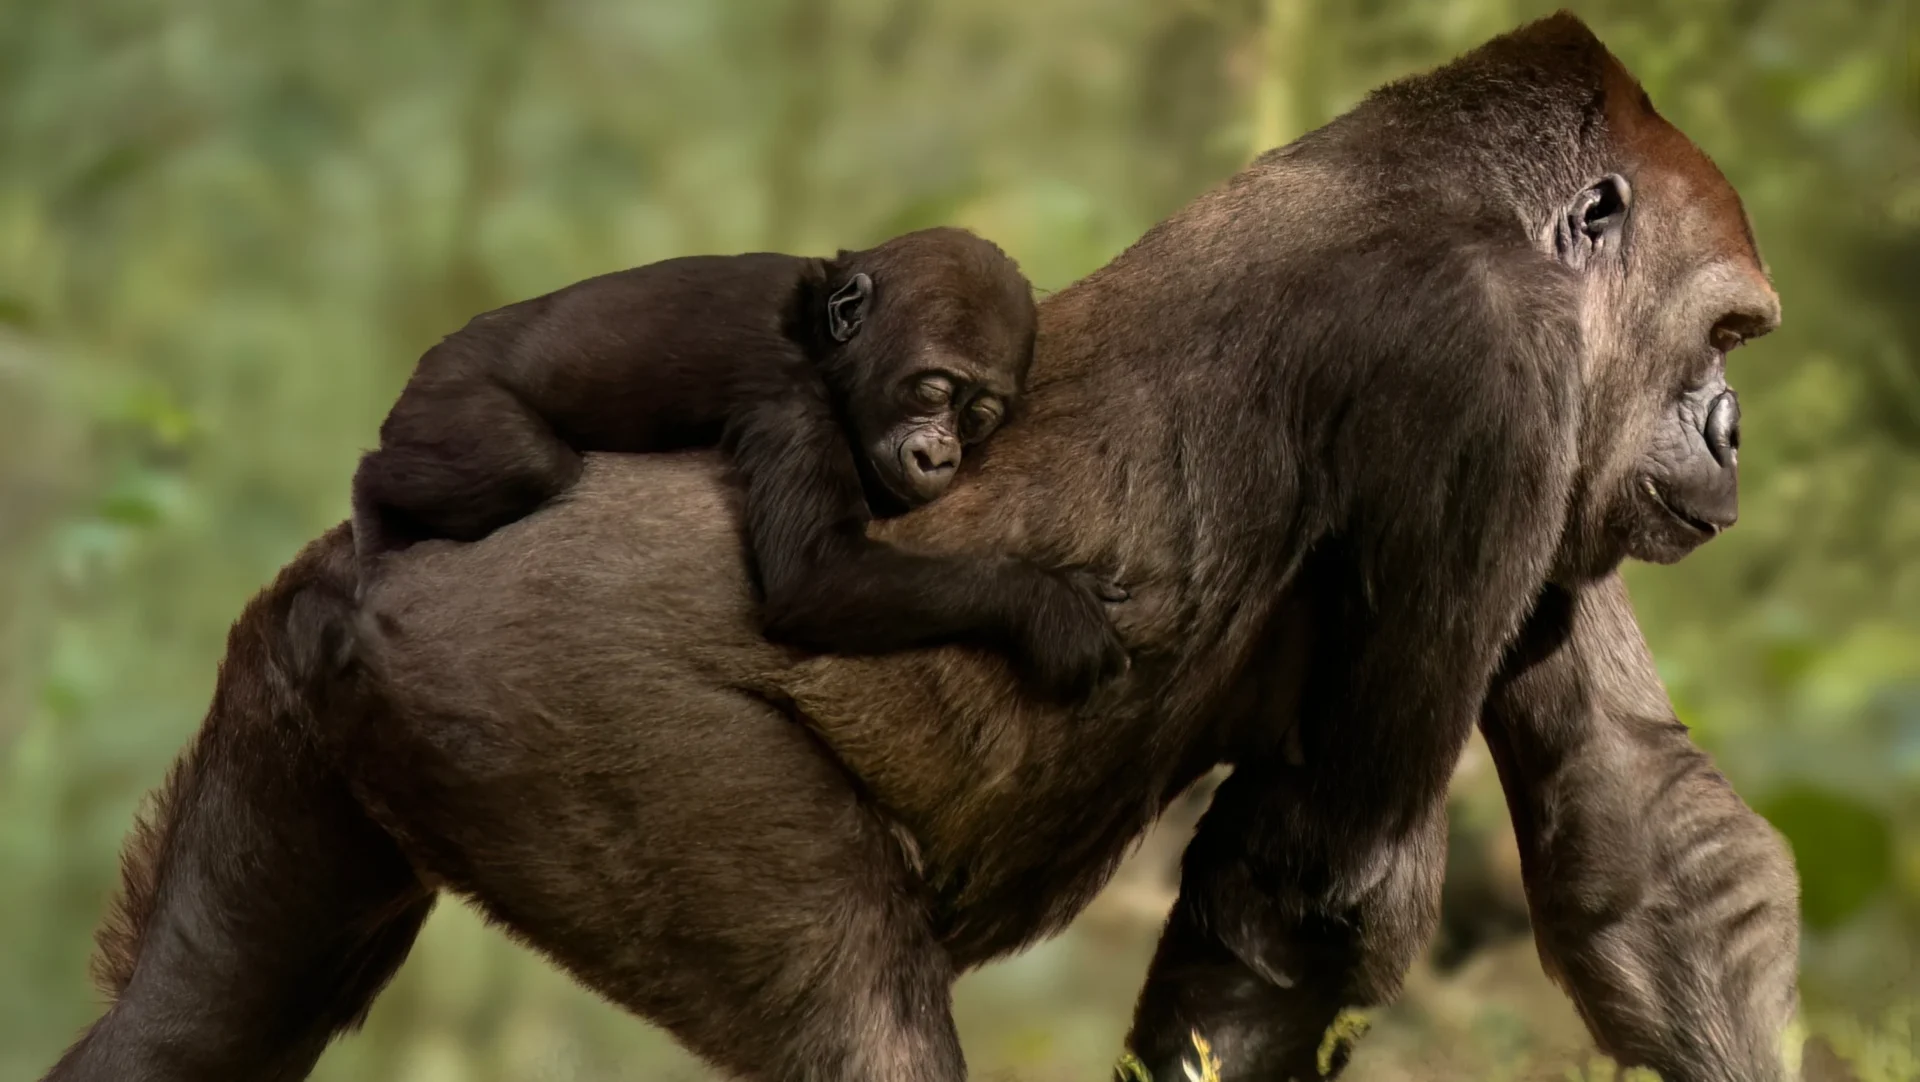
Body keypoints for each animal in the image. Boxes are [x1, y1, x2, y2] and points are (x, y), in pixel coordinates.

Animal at [351, 226, 1128, 700]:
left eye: (978, 416)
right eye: (933, 390)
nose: (940, 453)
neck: (819, 335)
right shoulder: (788, 394)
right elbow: (818, 577)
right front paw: (1047, 604)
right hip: (445, 396)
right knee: (523, 464)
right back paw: (370, 503)